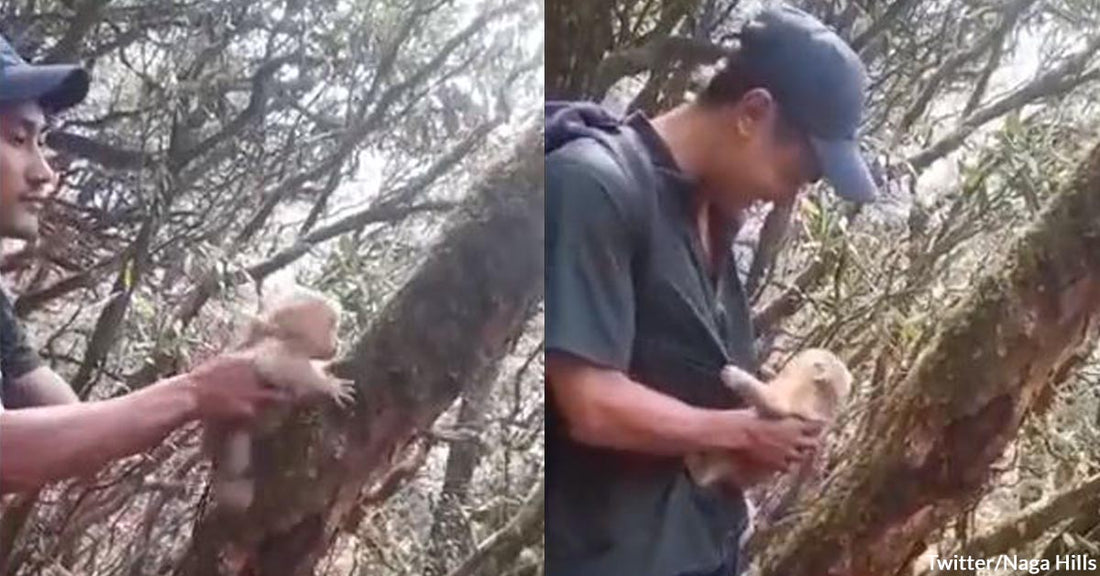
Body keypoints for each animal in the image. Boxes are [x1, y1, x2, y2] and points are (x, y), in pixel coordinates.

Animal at [207, 288, 354, 512]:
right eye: (332, 327)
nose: (337, 342)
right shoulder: (275, 346)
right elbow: (272, 365)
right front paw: (328, 385)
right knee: (235, 478)